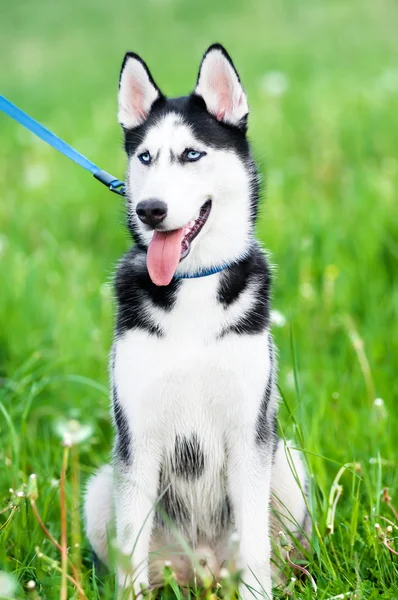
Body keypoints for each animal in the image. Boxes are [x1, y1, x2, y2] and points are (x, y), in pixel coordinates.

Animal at [84, 44, 310, 596]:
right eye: (145, 157)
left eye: (191, 154)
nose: (150, 209)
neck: (192, 285)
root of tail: (201, 568)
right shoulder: (137, 437)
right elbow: (131, 546)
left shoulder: (250, 432)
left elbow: (254, 541)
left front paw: (258, 592)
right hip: (99, 490)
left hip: (288, 464)